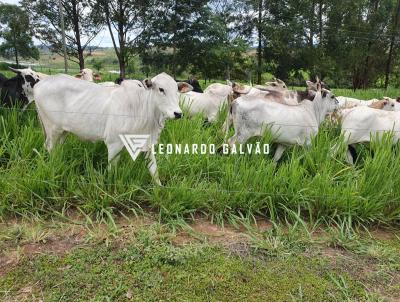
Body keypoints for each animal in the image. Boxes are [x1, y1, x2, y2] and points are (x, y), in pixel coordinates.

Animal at [33, 73, 191, 185]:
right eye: (161, 89)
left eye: (177, 91)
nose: (178, 113)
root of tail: (40, 84)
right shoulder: (114, 143)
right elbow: (111, 171)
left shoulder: (146, 143)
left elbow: (154, 170)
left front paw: (160, 189)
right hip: (52, 129)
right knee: (50, 147)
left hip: (63, 131)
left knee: (57, 148)